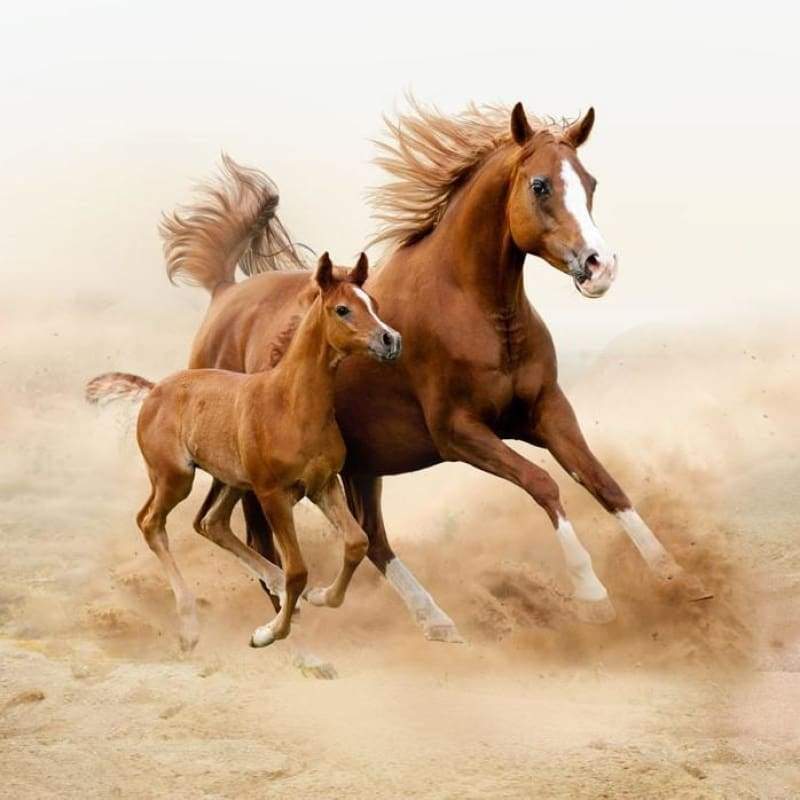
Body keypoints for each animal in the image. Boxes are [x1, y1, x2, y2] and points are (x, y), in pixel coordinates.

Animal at [134, 252, 401, 650]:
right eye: (342, 309)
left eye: (374, 304)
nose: (391, 340)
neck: (290, 404)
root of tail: (153, 391)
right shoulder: (273, 495)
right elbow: (298, 570)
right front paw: (268, 633)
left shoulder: (323, 485)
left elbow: (356, 542)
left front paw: (321, 596)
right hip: (176, 478)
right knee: (151, 523)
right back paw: (190, 625)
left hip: (233, 481)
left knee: (211, 523)